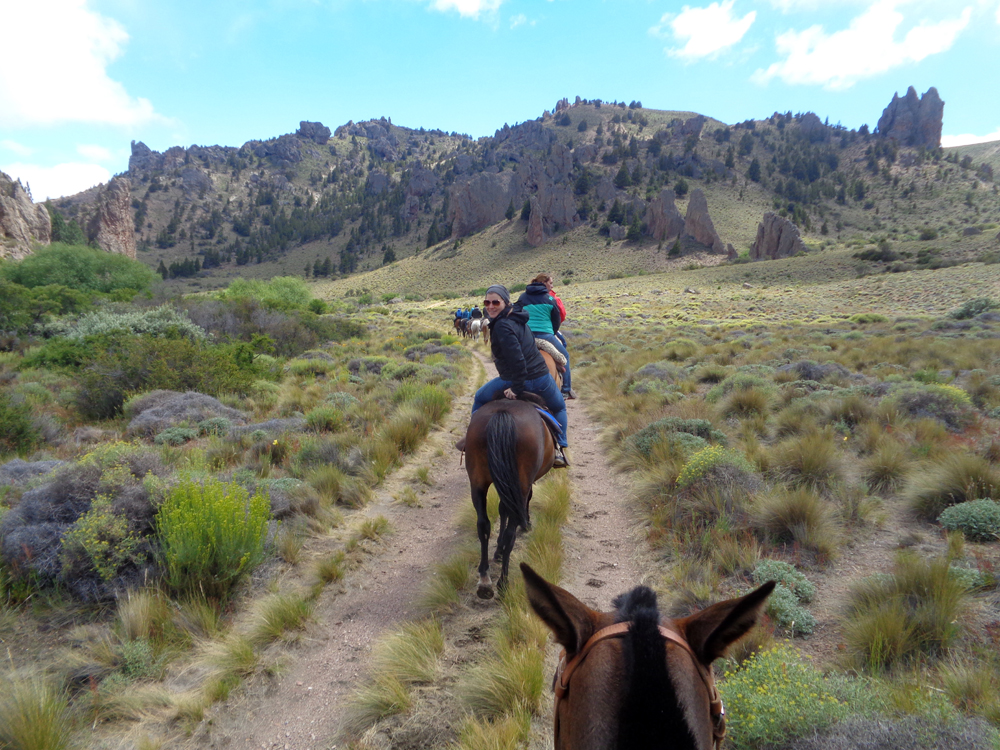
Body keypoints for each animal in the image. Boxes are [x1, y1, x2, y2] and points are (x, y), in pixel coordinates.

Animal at [463, 397, 556, 598]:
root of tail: (503, 412)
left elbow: (501, 509)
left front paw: (497, 550)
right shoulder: (522, 485)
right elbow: (525, 501)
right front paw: (526, 523)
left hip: (478, 482)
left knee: (483, 525)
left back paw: (484, 580)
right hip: (520, 482)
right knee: (510, 534)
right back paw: (503, 582)